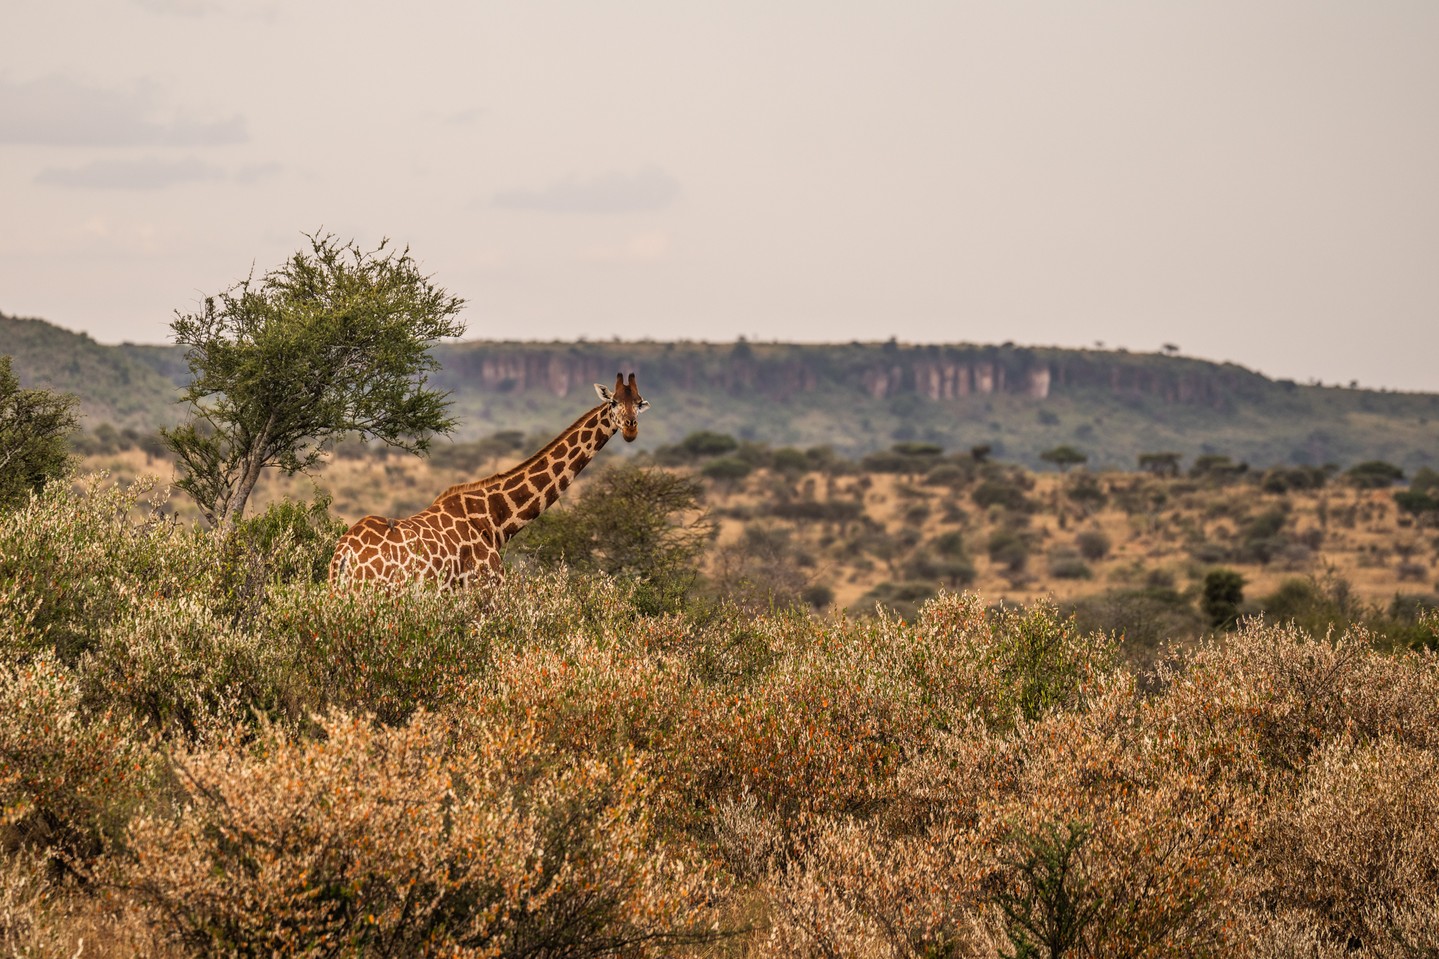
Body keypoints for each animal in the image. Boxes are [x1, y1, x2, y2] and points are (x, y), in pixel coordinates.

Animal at [328, 372, 650, 589]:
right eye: (613, 403)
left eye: (638, 403)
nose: (631, 429)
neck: (495, 519)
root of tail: (342, 558)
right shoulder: (486, 591)